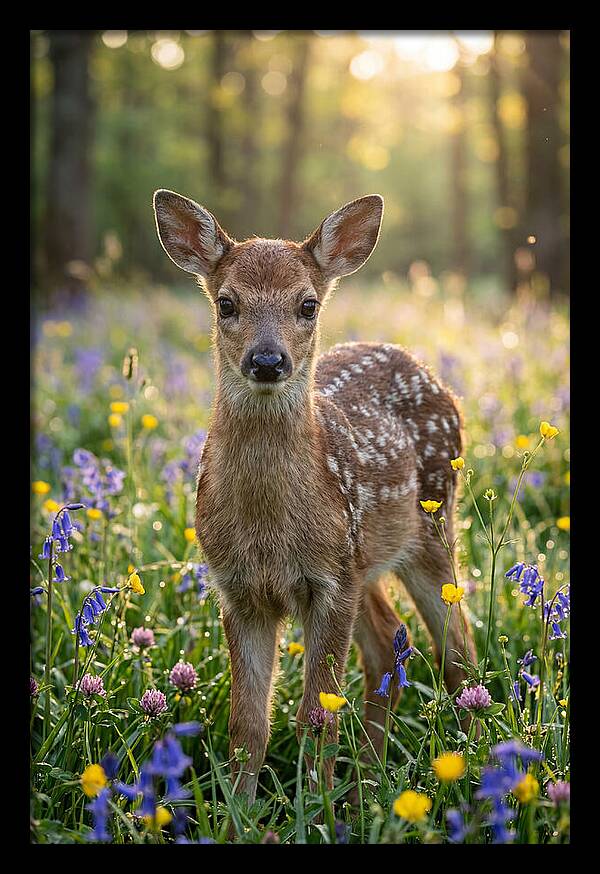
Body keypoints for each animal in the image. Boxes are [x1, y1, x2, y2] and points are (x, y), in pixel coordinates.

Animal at [153, 189, 477, 808]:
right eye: (226, 303)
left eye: (307, 305)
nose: (267, 360)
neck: (269, 530)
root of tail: (429, 372)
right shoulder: (239, 589)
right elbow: (247, 726)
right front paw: (239, 815)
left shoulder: (328, 583)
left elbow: (315, 716)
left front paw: (316, 810)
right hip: (364, 559)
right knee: (387, 645)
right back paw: (369, 783)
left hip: (429, 527)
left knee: (458, 652)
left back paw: (470, 776)